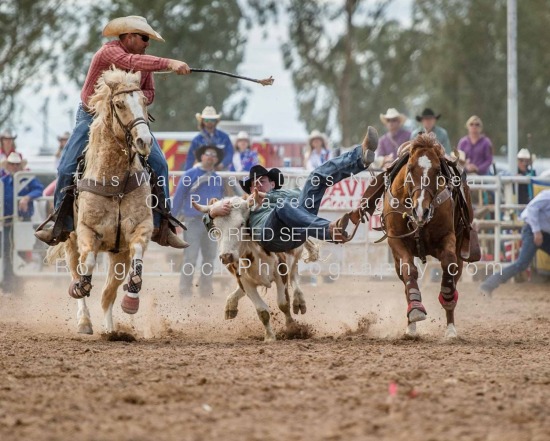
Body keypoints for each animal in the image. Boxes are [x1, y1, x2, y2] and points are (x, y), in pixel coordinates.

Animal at [47, 67, 154, 332]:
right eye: (119, 104)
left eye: (144, 101)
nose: (144, 141)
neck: (115, 183)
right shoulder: (87, 231)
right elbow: (88, 264)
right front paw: (81, 288)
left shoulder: (140, 228)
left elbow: (137, 255)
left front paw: (131, 299)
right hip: (70, 240)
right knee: (76, 270)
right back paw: (84, 320)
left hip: (118, 254)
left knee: (108, 293)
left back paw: (111, 330)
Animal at [384, 132, 474, 338]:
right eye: (410, 167)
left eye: (437, 170)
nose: (421, 210)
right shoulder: (396, 240)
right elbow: (409, 270)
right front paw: (416, 309)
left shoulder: (448, 237)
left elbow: (448, 264)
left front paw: (447, 296)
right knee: (405, 279)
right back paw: (411, 327)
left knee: (454, 272)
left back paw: (451, 329)